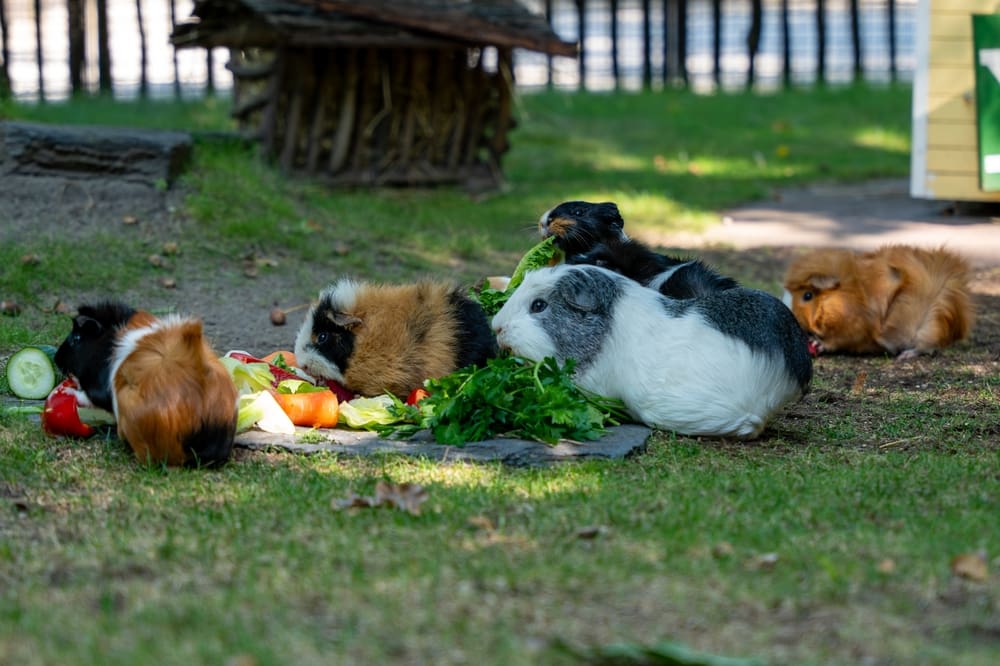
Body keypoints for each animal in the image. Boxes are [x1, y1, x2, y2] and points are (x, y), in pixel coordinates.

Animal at [782, 245, 974, 359]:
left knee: (928, 348)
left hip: (928, 330)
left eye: (807, 295)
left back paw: (904, 356)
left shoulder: (853, 332)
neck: (854, 295)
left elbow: (836, 341)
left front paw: (817, 343)